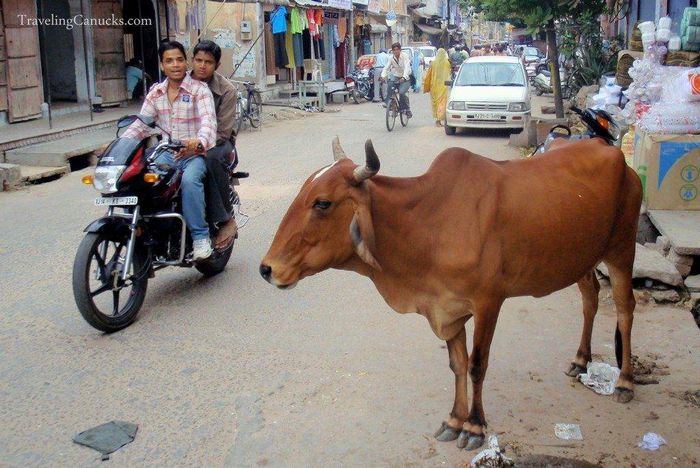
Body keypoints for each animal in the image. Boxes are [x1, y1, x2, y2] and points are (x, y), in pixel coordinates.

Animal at [260, 137, 644, 452]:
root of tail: (615, 154)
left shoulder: (489, 303)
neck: (429, 224)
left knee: (625, 309)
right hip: (582, 257)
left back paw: (625, 382)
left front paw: (474, 426)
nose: (267, 269)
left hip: (622, 249)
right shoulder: (446, 307)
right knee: (590, 298)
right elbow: (456, 364)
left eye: (322, 203)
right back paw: (581, 360)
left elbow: (476, 365)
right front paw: (454, 420)